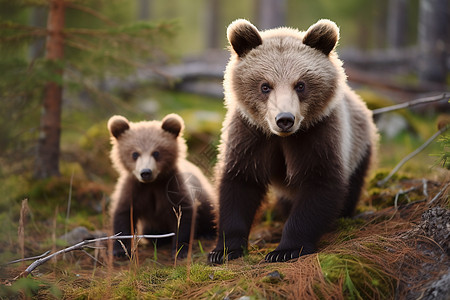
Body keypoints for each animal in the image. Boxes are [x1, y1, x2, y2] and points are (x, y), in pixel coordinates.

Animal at [209, 18, 378, 264]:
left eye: (300, 85)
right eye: (265, 86)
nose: (285, 119)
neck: (282, 138)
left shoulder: (318, 133)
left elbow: (319, 183)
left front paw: (285, 249)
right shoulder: (250, 134)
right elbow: (240, 181)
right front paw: (224, 250)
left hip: (359, 144)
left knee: (352, 185)